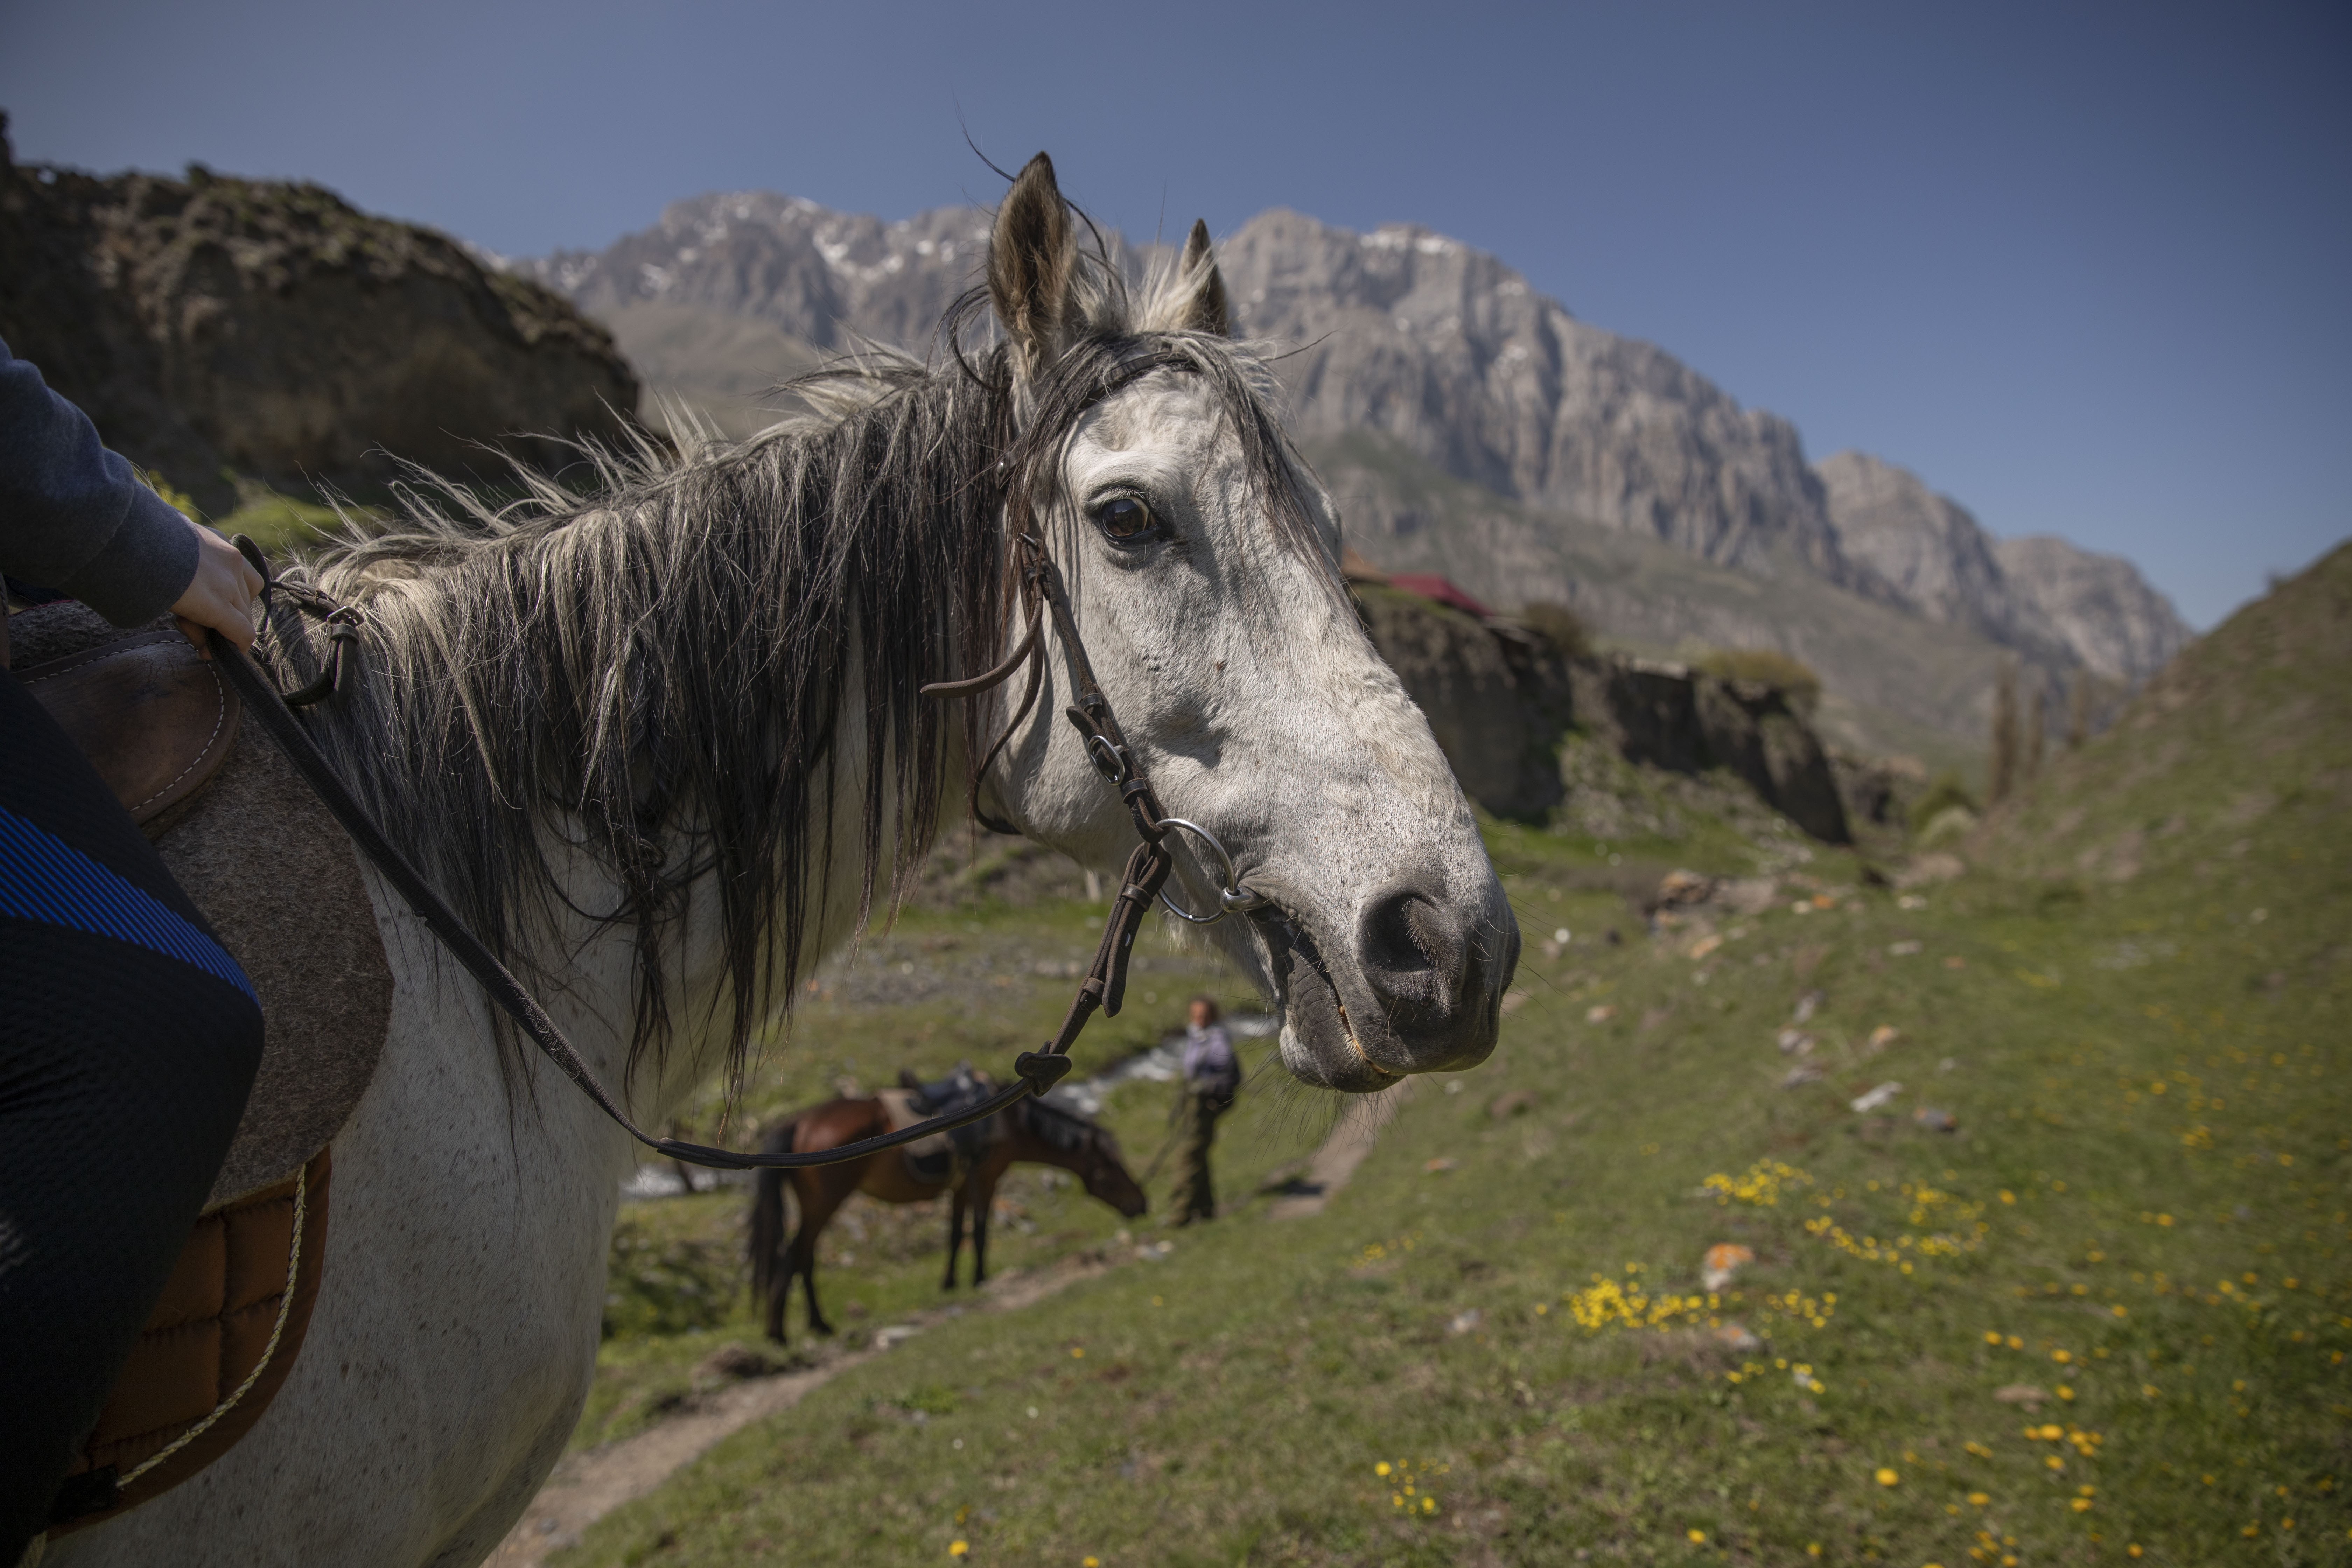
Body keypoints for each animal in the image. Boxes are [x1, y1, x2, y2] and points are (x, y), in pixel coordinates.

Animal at [748, 1091, 1143, 1354]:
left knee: (804, 1257)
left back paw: (815, 1324)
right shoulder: (986, 1179)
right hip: (825, 1201)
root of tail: (798, 1121)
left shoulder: (961, 1187)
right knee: (794, 1255)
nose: (1141, 1203)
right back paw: (781, 1332)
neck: (1012, 1124)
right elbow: (979, 1231)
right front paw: (980, 1277)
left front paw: (951, 1281)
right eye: (1111, 1168)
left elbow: (955, 1234)